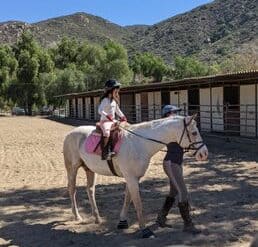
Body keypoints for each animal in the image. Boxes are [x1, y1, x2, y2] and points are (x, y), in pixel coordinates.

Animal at [63, 115, 209, 237]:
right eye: (194, 133)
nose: (204, 153)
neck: (140, 143)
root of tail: (71, 133)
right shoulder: (131, 178)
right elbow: (138, 203)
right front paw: (144, 230)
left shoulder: (133, 177)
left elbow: (128, 199)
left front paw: (122, 222)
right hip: (72, 168)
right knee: (72, 189)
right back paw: (77, 216)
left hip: (89, 169)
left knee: (90, 190)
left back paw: (97, 218)